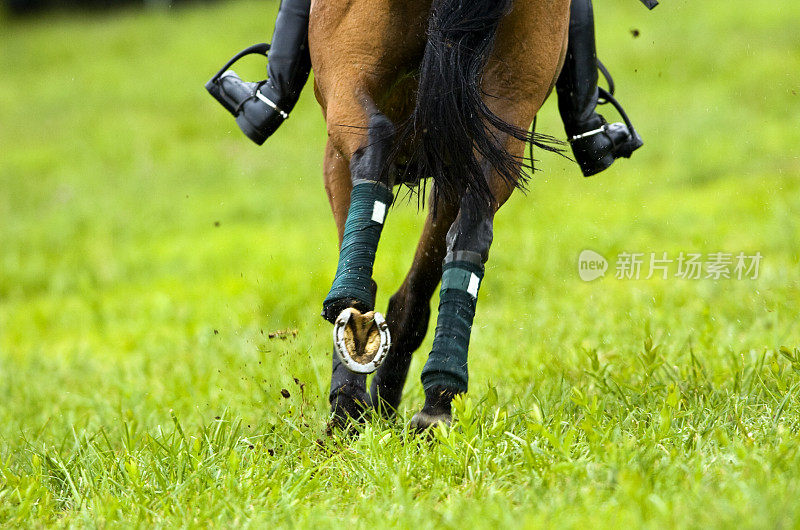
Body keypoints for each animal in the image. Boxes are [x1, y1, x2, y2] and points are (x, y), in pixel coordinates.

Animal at [310, 0, 572, 428]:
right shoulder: (456, 150)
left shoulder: (336, 152)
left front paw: (358, 396)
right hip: (508, 107)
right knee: (472, 232)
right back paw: (437, 402)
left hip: (346, 81)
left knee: (374, 144)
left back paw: (350, 397)